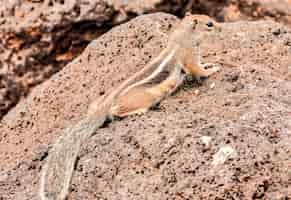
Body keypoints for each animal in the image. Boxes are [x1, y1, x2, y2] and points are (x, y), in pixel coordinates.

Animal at [38, 13, 221, 199]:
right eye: (209, 24)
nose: (221, 28)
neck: (183, 38)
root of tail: (103, 107)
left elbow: (201, 65)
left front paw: (210, 63)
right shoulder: (190, 59)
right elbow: (198, 70)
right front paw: (213, 69)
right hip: (146, 97)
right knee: (116, 112)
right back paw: (139, 111)